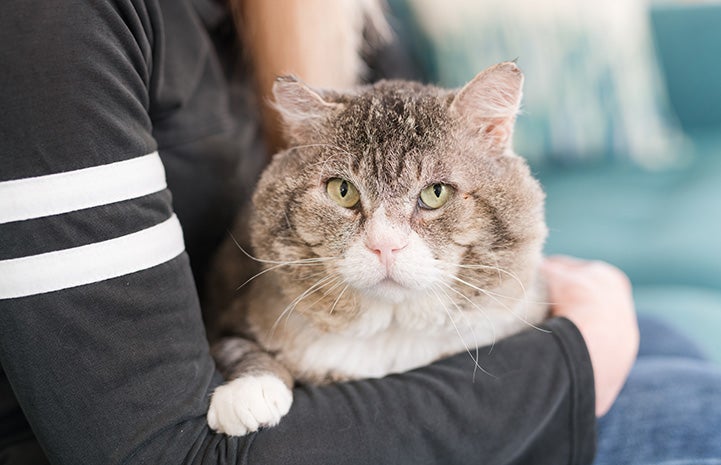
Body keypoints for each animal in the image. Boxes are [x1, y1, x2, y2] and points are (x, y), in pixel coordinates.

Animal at [205, 60, 548, 436]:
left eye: (436, 192)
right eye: (342, 190)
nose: (385, 245)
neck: (390, 331)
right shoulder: (226, 317)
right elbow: (238, 347)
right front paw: (251, 389)